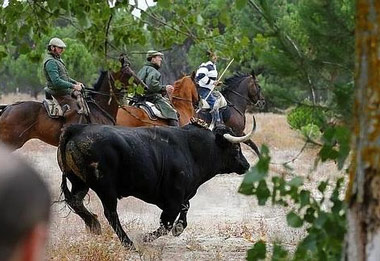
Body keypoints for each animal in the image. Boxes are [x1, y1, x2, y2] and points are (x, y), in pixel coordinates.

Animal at [58, 119, 254, 247]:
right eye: (236, 148)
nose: (246, 165)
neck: (192, 150)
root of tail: (77, 129)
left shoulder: (181, 196)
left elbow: (184, 210)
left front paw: (179, 228)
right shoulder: (173, 198)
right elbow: (166, 223)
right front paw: (145, 238)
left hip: (79, 182)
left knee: (75, 202)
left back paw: (93, 224)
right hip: (105, 188)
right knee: (110, 213)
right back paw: (128, 243)